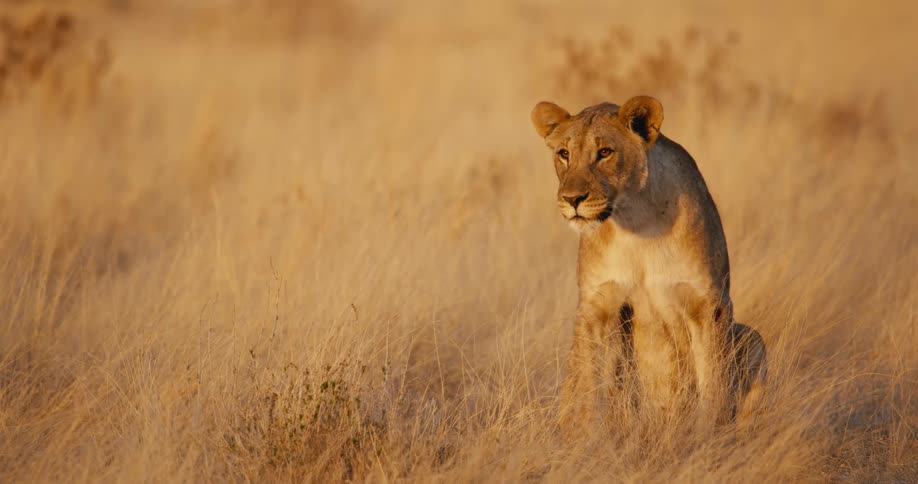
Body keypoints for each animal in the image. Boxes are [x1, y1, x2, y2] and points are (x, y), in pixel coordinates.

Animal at [530, 96, 766, 436]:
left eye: (605, 152)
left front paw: (709, 433)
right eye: (564, 154)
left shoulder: (708, 301)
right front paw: (584, 436)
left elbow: (713, 378)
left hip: (752, 336)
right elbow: (586, 379)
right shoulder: (596, 302)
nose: (572, 199)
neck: (635, 219)